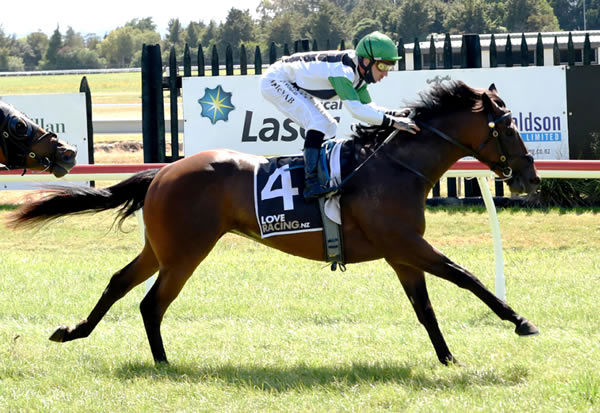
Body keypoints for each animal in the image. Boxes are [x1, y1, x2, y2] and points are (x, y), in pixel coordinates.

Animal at [9, 81, 540, 364]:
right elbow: (467, 278)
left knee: (120, 283)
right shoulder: (407, 245)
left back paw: (74, 331)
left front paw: (448, 359)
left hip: (161, 247)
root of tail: (162, 171)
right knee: (150, 302)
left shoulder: (402, 255)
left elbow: (425, 309)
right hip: (185, 251)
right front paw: (521, 321)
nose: (531, 177)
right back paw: (162, 362)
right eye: (509, 127)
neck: (393, 167)